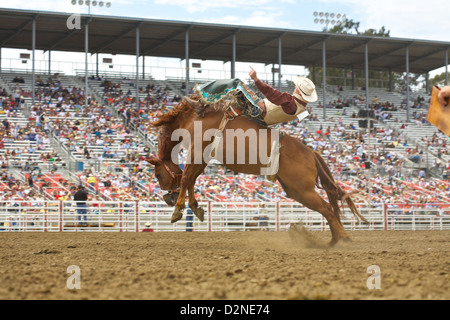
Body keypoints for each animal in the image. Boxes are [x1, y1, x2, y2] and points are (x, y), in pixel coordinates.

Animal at [149, 97, 368, 245]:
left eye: (158, 175)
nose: (167, 199)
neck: (194, 118)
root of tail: (311, 152)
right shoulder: (201, 157)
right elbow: (192, 179)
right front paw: (196, 208)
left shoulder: (197, 151)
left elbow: (186, 178)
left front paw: (178, 210)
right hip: (296, 191)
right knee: (327, 209)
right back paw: (333, 240)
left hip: (304, 190)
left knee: (328, 209)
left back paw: (343, 239)